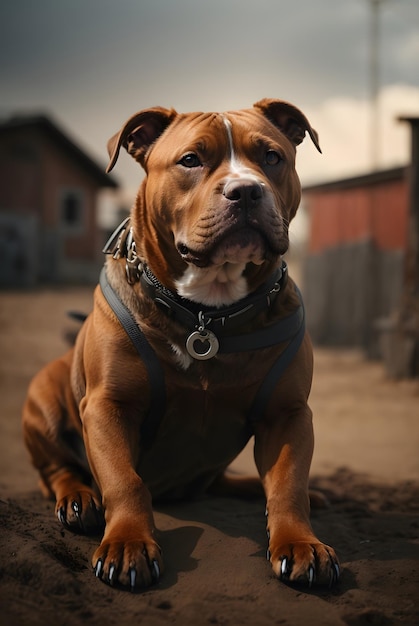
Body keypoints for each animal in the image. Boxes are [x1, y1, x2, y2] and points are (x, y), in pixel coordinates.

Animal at [22, 98, 342, 588]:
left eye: (271, 157)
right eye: (191, 160)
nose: (246, 191)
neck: (207, 314)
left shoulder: (286, 413)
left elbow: (288, 486)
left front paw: (300, 542)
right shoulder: (108, 406)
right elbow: (124, 480)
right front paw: (127, 543)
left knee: (228, 481)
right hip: (42, 402)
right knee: (57, 470)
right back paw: (78, 500)